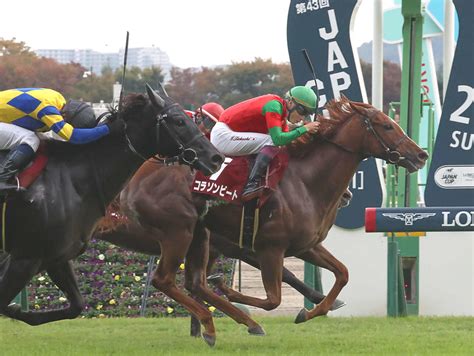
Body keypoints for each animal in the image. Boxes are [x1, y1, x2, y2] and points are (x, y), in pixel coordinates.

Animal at [0, 82, 224, 326]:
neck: (72, 179)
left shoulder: (55, 257)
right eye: (179, 121)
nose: (216, 157)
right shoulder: (25, 258)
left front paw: (17, 310)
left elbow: (76, 306)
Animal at [94, 96, 428, 342]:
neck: (305, 181)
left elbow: (342, 273)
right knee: (166, 279)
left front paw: (311, 311)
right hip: (179, 231)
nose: (421, 155)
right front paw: (232, 293)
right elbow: (273, 299)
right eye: (386, 126)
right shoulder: (267, 247)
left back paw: (220, 323)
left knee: (193, 282)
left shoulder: (304, 246)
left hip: (199, 235)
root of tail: (139, 176)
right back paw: (227, 321)